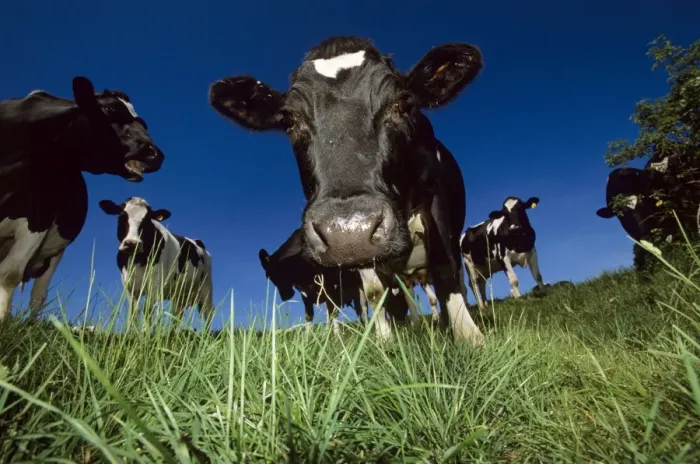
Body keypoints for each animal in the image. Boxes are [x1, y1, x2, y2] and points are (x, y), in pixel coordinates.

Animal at [0, 76, 165, 323]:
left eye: (142, 122)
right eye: (110, 109)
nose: (156, 154)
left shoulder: (40, 219)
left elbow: (9, 274)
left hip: (54, 254)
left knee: (38, 296)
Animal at [98, 197, 214, 327]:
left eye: (147, 220)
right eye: (122, 216)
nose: (132, 243)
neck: (138, 261)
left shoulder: (155, 284)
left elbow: (147, 311)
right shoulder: (128, 284)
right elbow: (133, 312)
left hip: (206, 289)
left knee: (207, 314)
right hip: (178, 296)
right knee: (176, 317)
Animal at [209, 36, 484, 344]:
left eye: (403, 103)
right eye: (289, 120)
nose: (348, 231)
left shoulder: (434, 202)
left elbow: (445, 269)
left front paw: (469, 338)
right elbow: (376, 293)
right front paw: (385, 342)